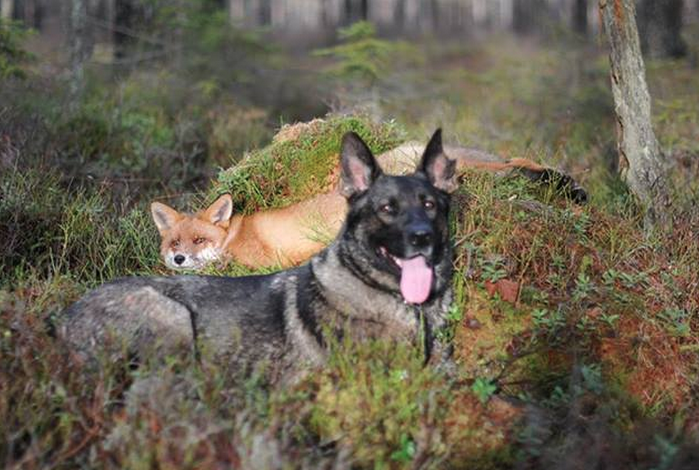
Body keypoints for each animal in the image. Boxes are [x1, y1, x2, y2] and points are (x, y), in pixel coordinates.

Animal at [152, 141, 584, 270]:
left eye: (198, 240)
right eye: (174, 243)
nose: (178, 260)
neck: (232, 238)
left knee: (512, 165)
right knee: (515, 165)